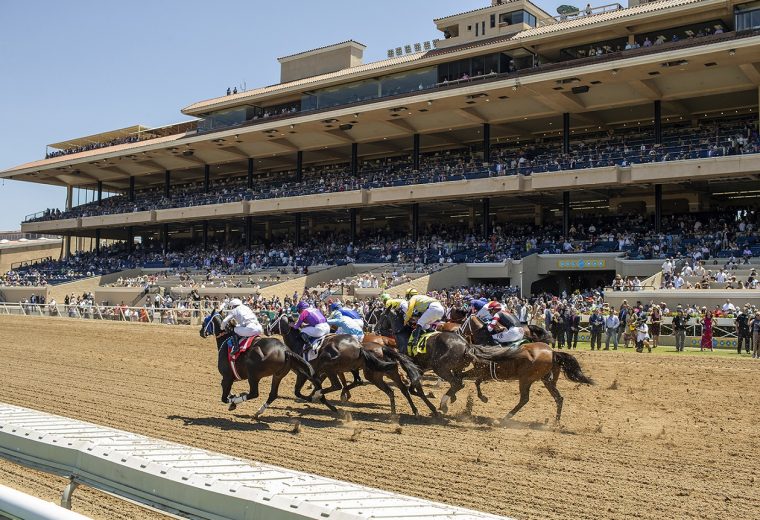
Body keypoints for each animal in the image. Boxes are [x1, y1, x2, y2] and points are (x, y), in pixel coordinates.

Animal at [199, 312, 336, 418]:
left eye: (204, 321)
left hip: (253, 375)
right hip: (278, 375)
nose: (201, 332)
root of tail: (285, 350)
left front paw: (233, 401)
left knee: (254, 393)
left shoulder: (227, 378)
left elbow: (224, 397)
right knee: (273, 394)